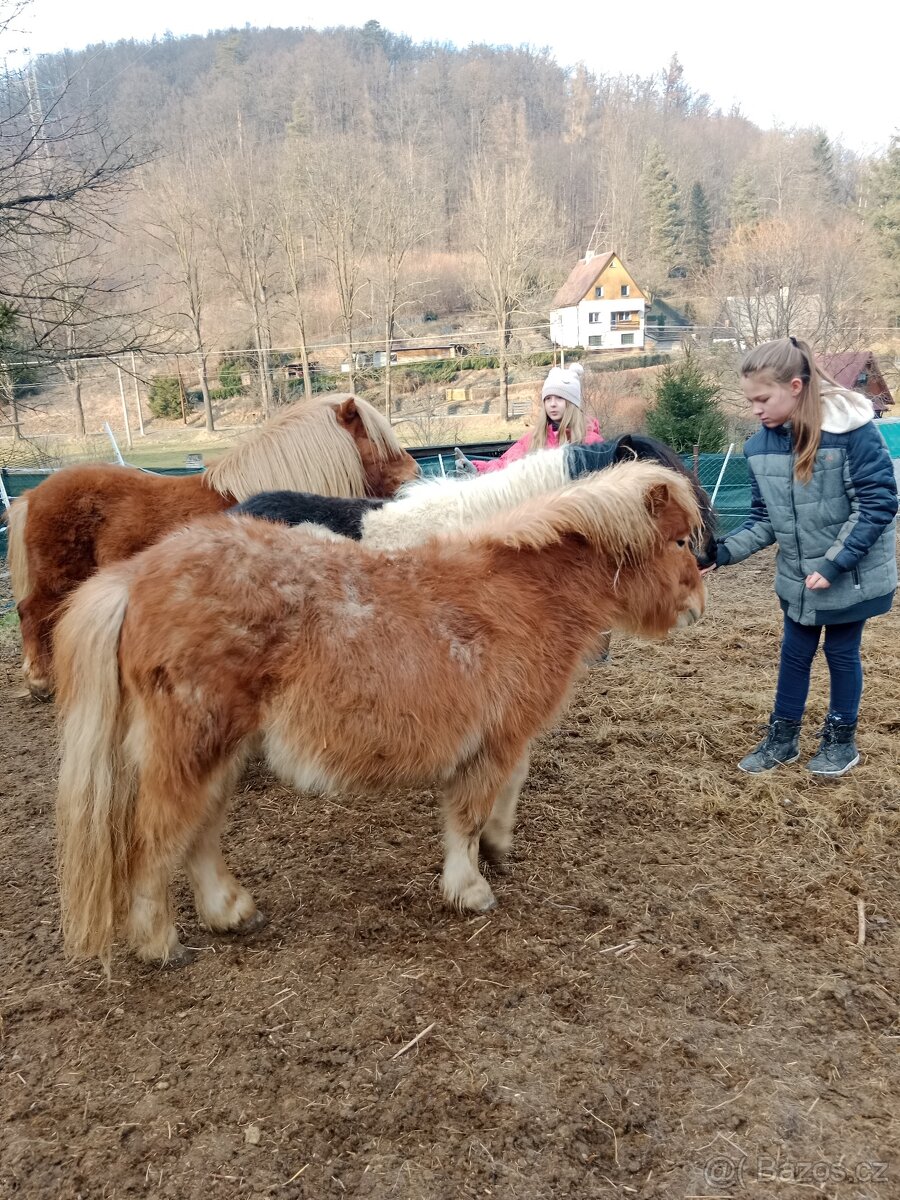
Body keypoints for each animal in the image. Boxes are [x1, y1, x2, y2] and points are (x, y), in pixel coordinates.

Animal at [7, 394, 418, 699]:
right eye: (379, 442)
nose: (415, 474)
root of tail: (33, 494)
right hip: (57, 580)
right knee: (32, 613)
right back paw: (40, 681)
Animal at [53, 460, 705, 969]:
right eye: (679, 542)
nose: (698, 605)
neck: (524, 595)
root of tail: (137, 577)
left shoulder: (508, 735)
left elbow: (510, 787)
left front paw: (499, 846)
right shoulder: (491, 741)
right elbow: (468, 813)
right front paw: (470, 888)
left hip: (222, 749)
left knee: (199, 832)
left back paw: (231, 912)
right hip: (191, 747)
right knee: (158, 836)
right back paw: (160, 944)